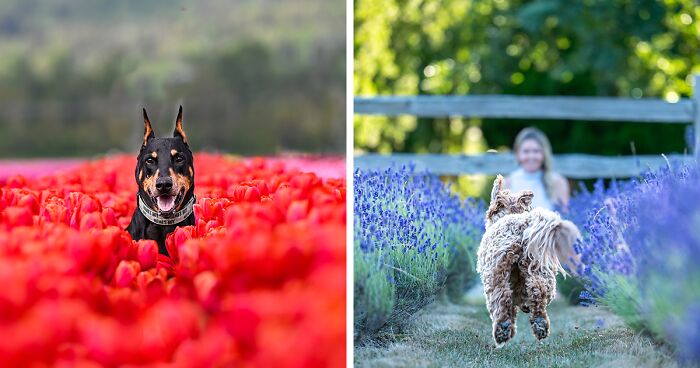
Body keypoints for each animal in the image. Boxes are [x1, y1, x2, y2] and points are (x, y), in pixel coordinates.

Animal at [476, 176, 580, 348]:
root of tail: (521, 225)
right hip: (540, 269)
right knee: (538, 291)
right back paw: (540, 324)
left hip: (496, 273)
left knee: (502, 299)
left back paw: (502, 330)